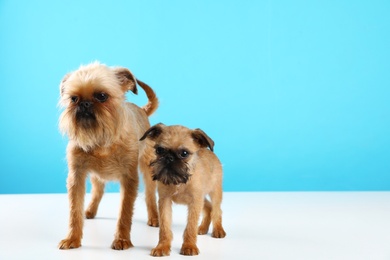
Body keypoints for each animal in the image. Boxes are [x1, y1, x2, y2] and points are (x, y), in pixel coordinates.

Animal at [56, 62, 160, 250]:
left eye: (102, 96)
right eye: (74, 99)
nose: (85, 104)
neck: (102, 140)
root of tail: (141, 110)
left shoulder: (129, 179)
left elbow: (125, 212)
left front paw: (122, 240)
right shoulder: (77, 176)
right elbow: (74, 210)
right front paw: (72, 238)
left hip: (148, 168)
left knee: (150, 194)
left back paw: (154, 217)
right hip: (96, 175)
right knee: (99, 190)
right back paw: (90, 211)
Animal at [139, 123, 225, 256]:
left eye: (184, 153)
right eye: (159, 150)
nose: (169, 157)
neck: (179, 181)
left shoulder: (195, 202)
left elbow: (190, 226)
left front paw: (189, 246)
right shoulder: (165, 201)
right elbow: (164, 226)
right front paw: (162, 247)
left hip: (215, 192)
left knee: (216, 210)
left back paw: (218, 229)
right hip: (202, 197)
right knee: (208, 206)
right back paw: (203, 228)